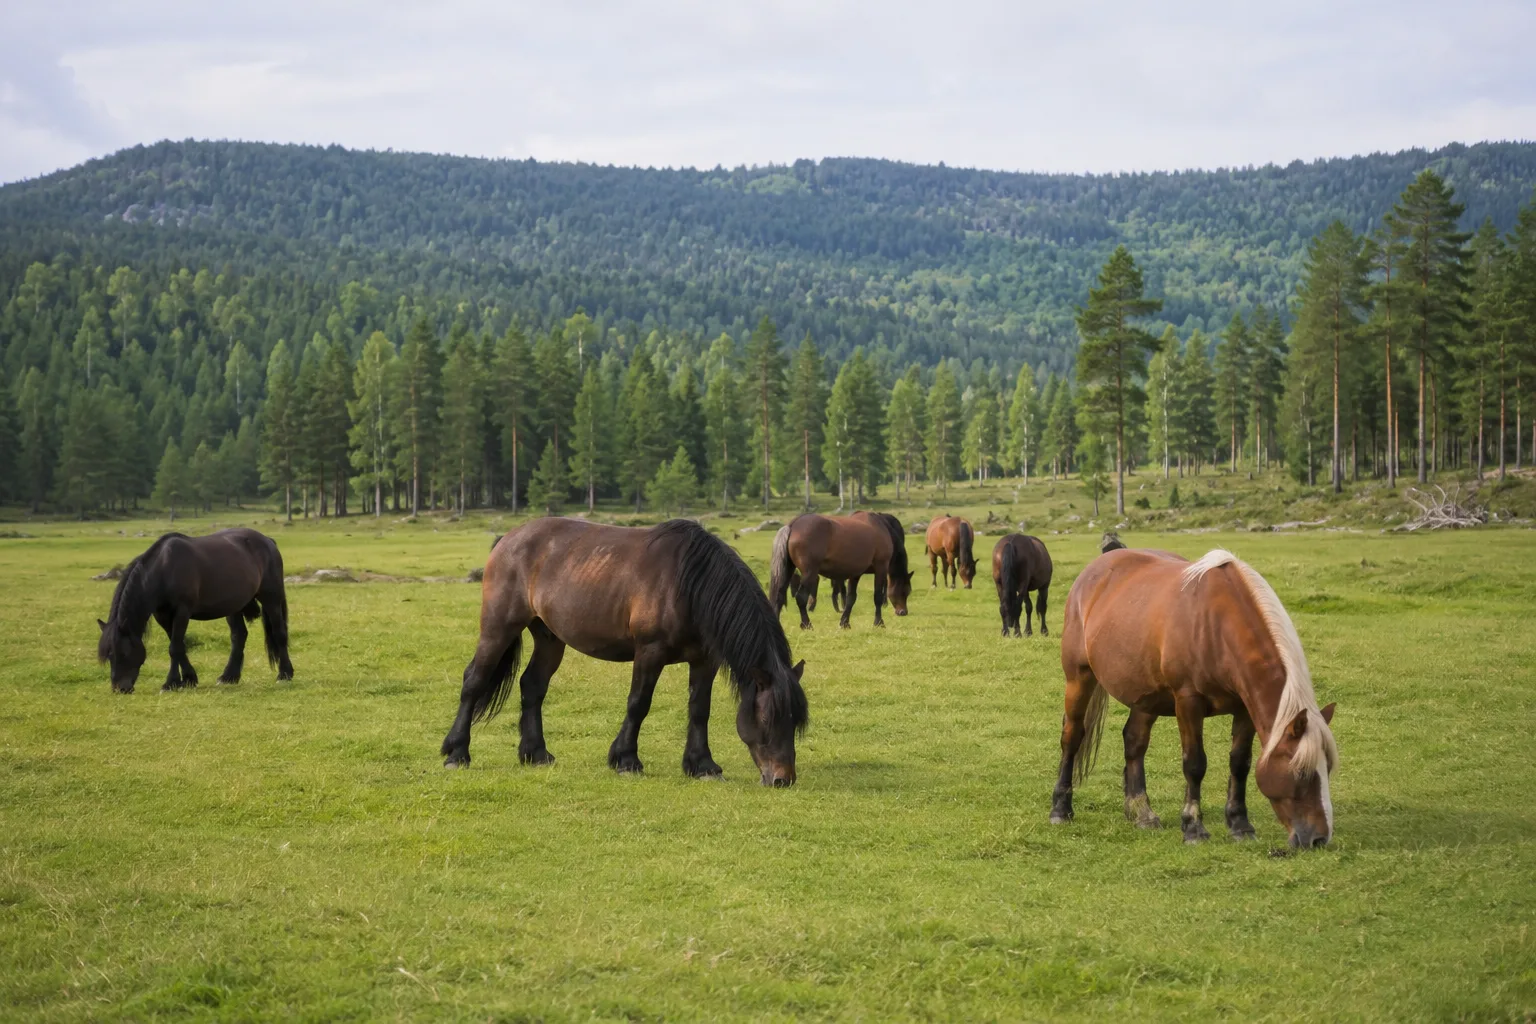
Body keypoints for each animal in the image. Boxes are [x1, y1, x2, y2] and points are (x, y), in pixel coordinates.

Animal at [97, 528, 294, 693]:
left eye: (123, 652)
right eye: (109, 655)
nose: (120, 688)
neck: (164, 569)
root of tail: (268, 541)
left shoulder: (182, 612)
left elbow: (174, 647)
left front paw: (171, 683)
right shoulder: (163, 616)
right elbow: (179, 646)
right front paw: (188, 679)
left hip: (271, 599)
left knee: (279, 632)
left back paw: (285, 674)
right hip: (234, 607)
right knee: (239, 636)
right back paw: (229, 676)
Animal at [441, 518, 809, 786]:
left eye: (795, 721)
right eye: (767, 718)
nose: (783, 779)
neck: (689, 583)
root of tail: (508, 539)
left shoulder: (705, 660)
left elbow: (699, 710)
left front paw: (702, 764)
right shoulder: (649, 652)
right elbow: (638, 704)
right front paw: (626, 759)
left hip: (549, 637)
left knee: (532, 686)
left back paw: (536, 753)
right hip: (498, 627)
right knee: (474, 680)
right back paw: (456, 753)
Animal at [768, 511, 912, 629]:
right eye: (906, 591)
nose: (903, 612)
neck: (880, 528)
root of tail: (793, 525)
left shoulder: (855, 574)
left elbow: (851, 598)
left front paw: (845, 623)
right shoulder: (881, 568)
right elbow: (877, 597)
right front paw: (879, 623)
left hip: (788, 569)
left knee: (780, 595)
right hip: (809, 573)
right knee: (801, 597)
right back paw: (807, 624)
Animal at [1051, 548, 1338, 849]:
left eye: (1328, 768)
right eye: (1301, 772)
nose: (1319, 839)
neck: (1218, 627)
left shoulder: (1244, 708)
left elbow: (1240, 763)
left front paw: (1240, 825)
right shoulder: (1188, 702)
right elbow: (1195, 764)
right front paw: (1193, 828)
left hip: (1145, 695)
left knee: (1134, 742)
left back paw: (1142, 813)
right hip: (1079, 678)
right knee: (1072, 736)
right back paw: (1060, 809)